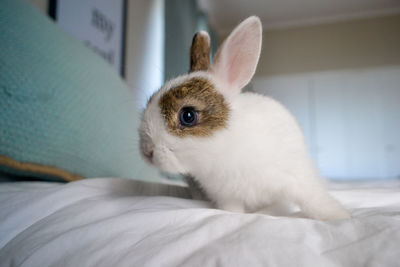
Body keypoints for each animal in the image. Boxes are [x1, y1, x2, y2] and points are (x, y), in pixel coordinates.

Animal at [140, 17, 350, 222]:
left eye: (188, 116)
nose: (147, 151)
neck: (223, 148)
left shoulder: (296, 177)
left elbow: (312, 199)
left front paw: (339, 217)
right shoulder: (228, 196)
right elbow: (233, 211)